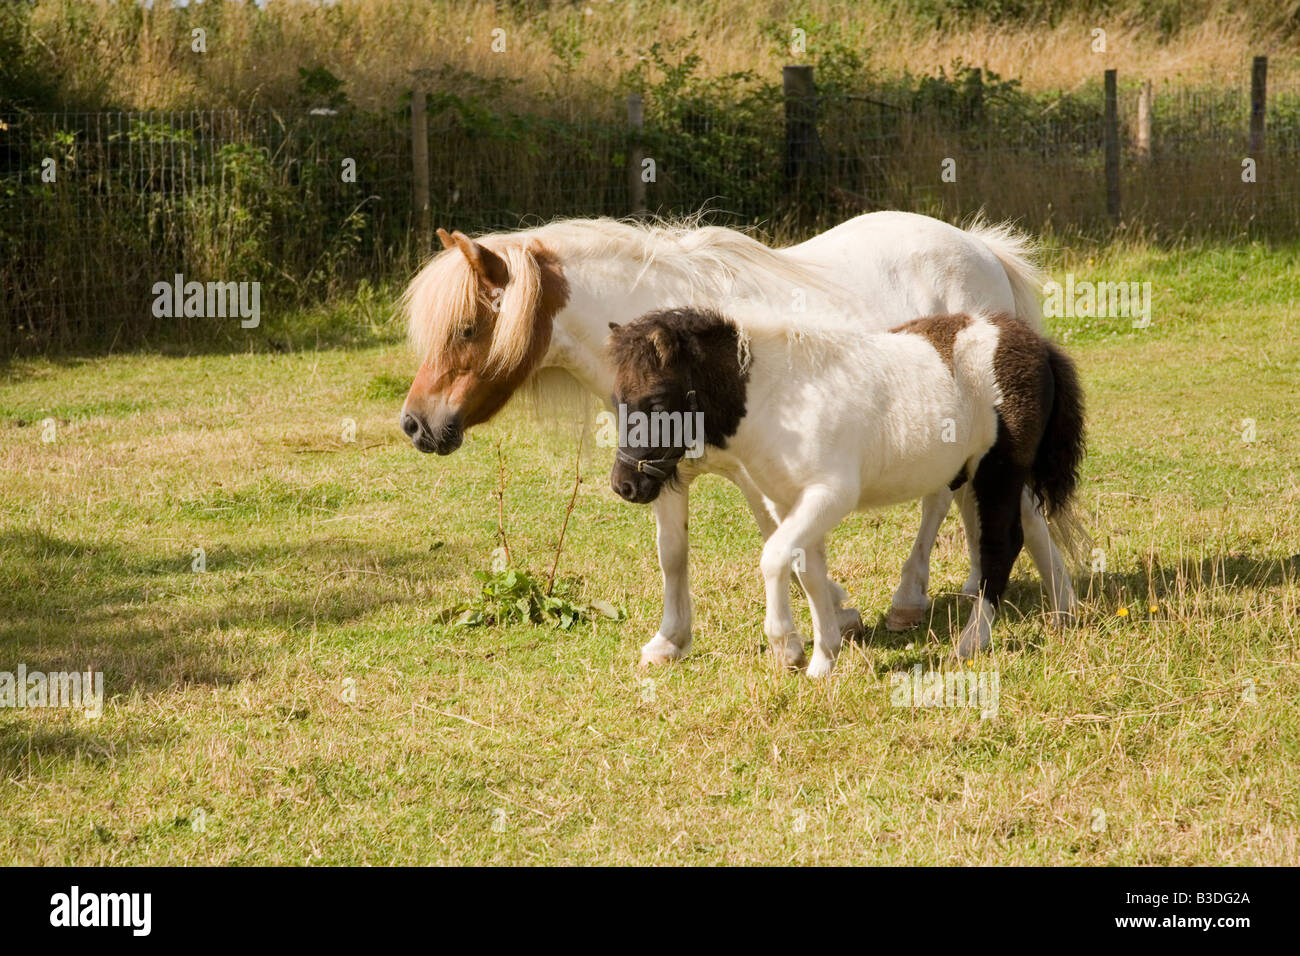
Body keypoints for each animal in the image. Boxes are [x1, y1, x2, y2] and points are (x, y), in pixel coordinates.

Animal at [608, 306, 1086, 671]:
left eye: (656, 401)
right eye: (617, 400)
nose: (625, 484)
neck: (777, 398)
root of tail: (1036, 343)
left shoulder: (830, 495)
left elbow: (774, 557)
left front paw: (786, 647)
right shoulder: (789, 503)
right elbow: (809, 573)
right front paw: (824, 658)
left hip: (998, 471)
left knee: (1002, 544)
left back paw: (972, 640)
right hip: (997, 474)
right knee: (1033, 527)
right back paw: (1064, 613)